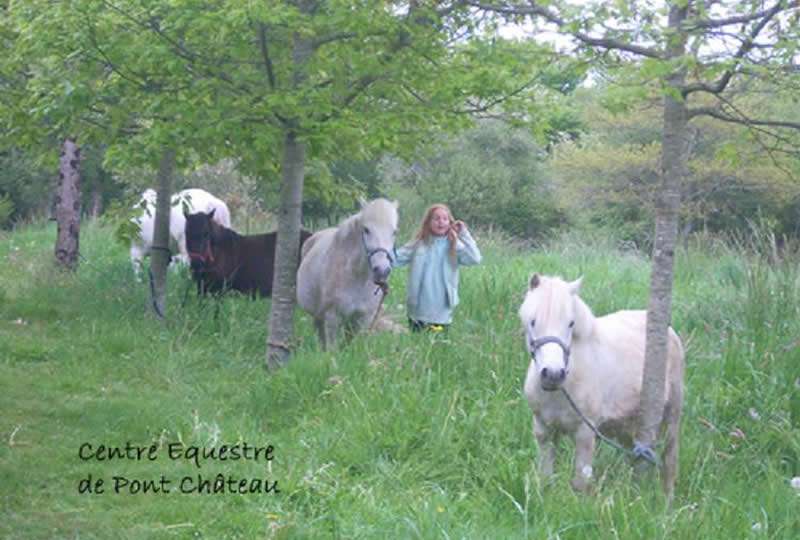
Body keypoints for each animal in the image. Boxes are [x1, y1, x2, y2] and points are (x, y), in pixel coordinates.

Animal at [296, 198, 399, 349]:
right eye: (366, 230)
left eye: (394, 232)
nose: (382, 270)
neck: (357, 278)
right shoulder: (332, 318)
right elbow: (332, 349)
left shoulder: (361, 320)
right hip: (318, 316)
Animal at [518, 274, 684, 500]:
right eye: (532, 321)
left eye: (571, 323)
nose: (553, 374)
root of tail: (670, 332)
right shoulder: (543, 429)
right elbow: (545, 479)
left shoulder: (585, 433)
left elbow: (580, 483)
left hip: (672, 416)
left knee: (669, 462)